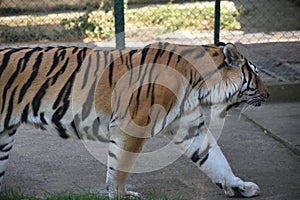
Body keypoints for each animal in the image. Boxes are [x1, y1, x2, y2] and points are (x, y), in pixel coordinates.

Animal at [0, 42, 268, 198]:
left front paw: (239, 186)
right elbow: (118, 171)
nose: (267, 95)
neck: (200, 86)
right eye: (256, 74)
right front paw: (119, 195)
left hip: (3, 137)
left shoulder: (190, 127)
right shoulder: (132, 127)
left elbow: (215, 159)